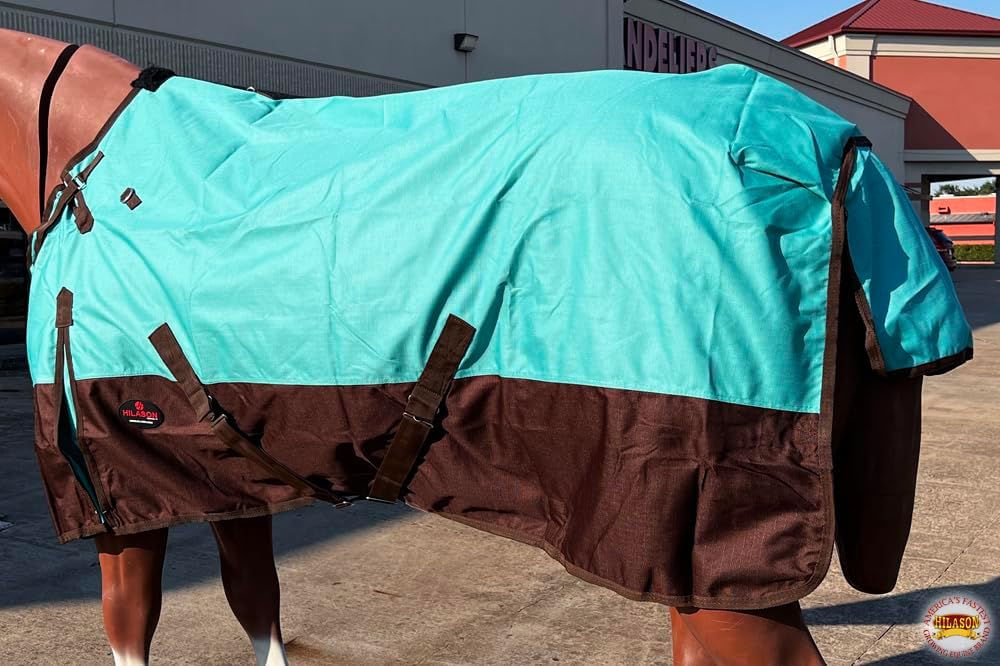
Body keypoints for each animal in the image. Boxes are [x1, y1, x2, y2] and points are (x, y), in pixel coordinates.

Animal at [0, 28, 972, 665]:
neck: (86, 160)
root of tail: (826, 139)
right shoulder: (220, 475)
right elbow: (257, 608)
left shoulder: (114, 491)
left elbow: (134, 628)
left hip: (697, 536)